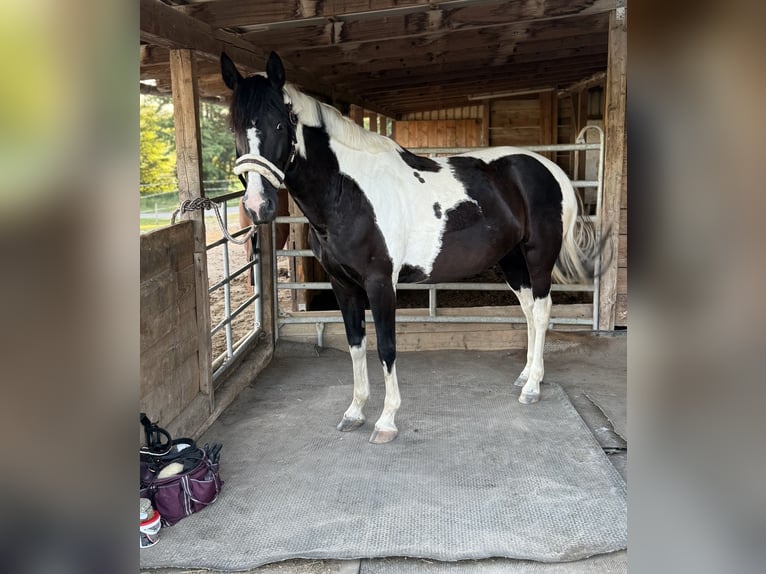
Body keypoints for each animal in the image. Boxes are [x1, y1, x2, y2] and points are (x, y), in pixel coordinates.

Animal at [222, 51, 599, 444]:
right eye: (234, 129)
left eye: (280, 125)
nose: (257, 206)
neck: (349, 193)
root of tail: (551, 169)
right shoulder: (343, 286)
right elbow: (356, 344)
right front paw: (355, 412)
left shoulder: (380, 283)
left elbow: (386, 347)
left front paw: (387, 421)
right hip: (511, 260)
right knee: (527, 310)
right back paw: (525, 375)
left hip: (539, 259)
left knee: (541, 311)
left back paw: (533, 387)